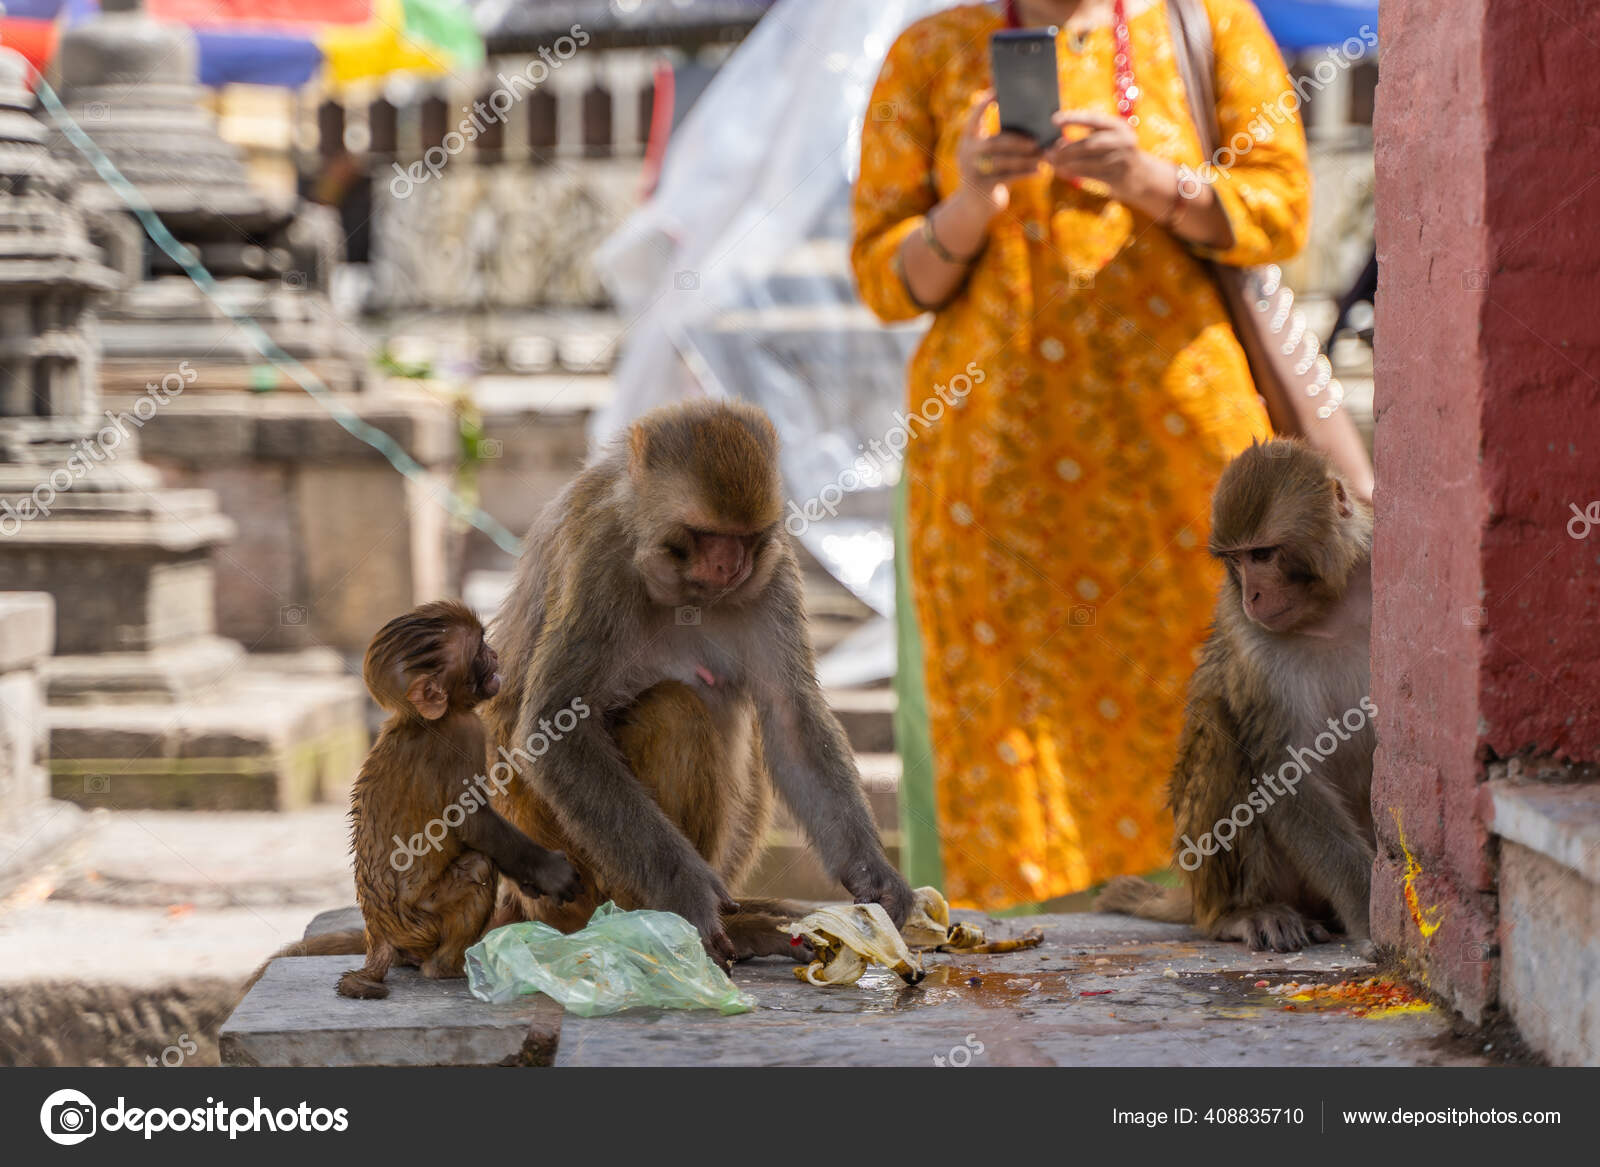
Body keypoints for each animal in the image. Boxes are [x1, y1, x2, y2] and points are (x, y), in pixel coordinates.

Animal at [337, 601, 582, 999]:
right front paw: (548, 871)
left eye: (485, 643)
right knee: (479, 866)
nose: (495, 654)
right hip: (422, 921)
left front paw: (530, 881)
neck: (422, 721)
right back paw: (447, 967)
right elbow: (473, 824)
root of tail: (380, 937)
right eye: (479, 652)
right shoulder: (466, 733)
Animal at [481, 399, 913, 968]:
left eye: (744, 537)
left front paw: (873, 874)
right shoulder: (600, 562)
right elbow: (555, 728)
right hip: (568, 870)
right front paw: (687, 892)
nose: (731, 564)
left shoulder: (773, 569)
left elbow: (790, 717)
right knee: (678, 710)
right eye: (706, 534)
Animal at [1098, 439, 1375, 952]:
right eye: (1235, 559)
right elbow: (1283, 770)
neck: (1331, 609)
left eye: (1262, 554)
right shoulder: (1252, 641)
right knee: (1220, 727)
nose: (1252, 596)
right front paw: (1372, 910)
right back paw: (1239, 913)